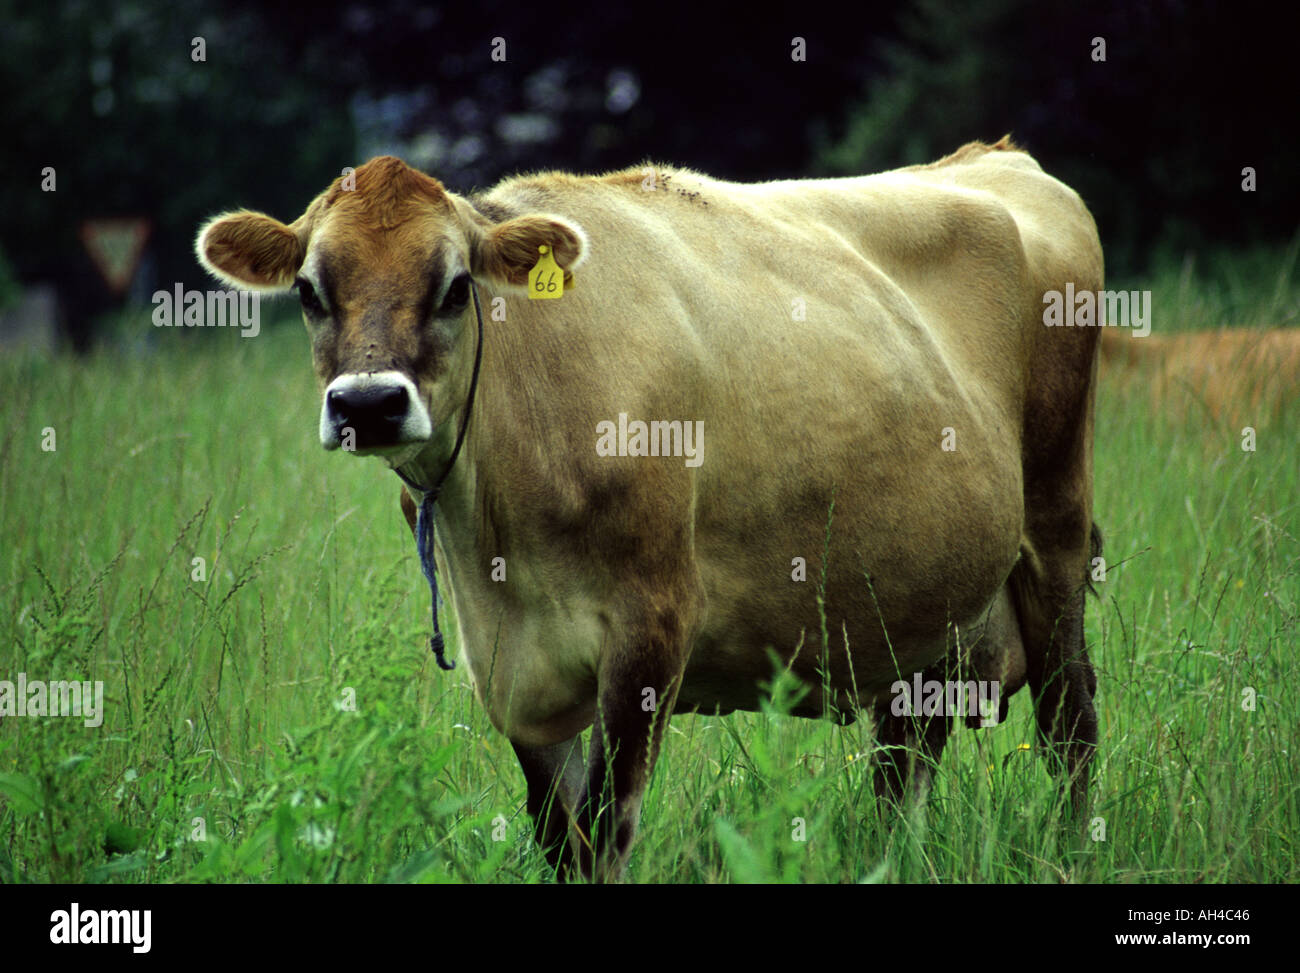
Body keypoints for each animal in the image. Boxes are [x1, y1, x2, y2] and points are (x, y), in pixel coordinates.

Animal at [195, 137, 1102, 881]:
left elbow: (607, 831)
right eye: (310, 290)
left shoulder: (650, 629)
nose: (370, 404)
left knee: (1071, 727)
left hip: (1054, 535)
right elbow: (559, 840)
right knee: (904, 774)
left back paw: (1074, 849)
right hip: (925, 619)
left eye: (454, 287)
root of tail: (993, 156)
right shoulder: (513, 666)